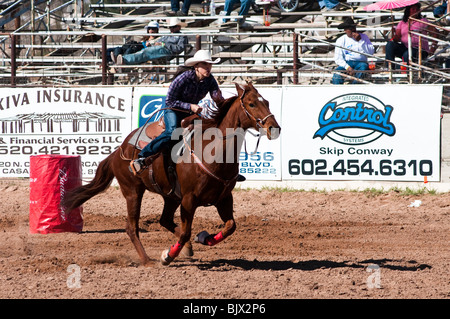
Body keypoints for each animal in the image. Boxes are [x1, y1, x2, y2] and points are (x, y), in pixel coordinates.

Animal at [61, 83, 280, 268]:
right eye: (251, 103)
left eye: (267, 102)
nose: (274, 128)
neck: (212, 150)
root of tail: (118, 151)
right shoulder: (189, 200)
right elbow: (185, 232)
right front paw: (167, 256)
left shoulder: (224, 198)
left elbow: (230, 226)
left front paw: (204, 238)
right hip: (133, 191)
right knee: (133, 228)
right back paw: (147, 260)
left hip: (171, 196)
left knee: (165, 220)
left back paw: (188, 247)